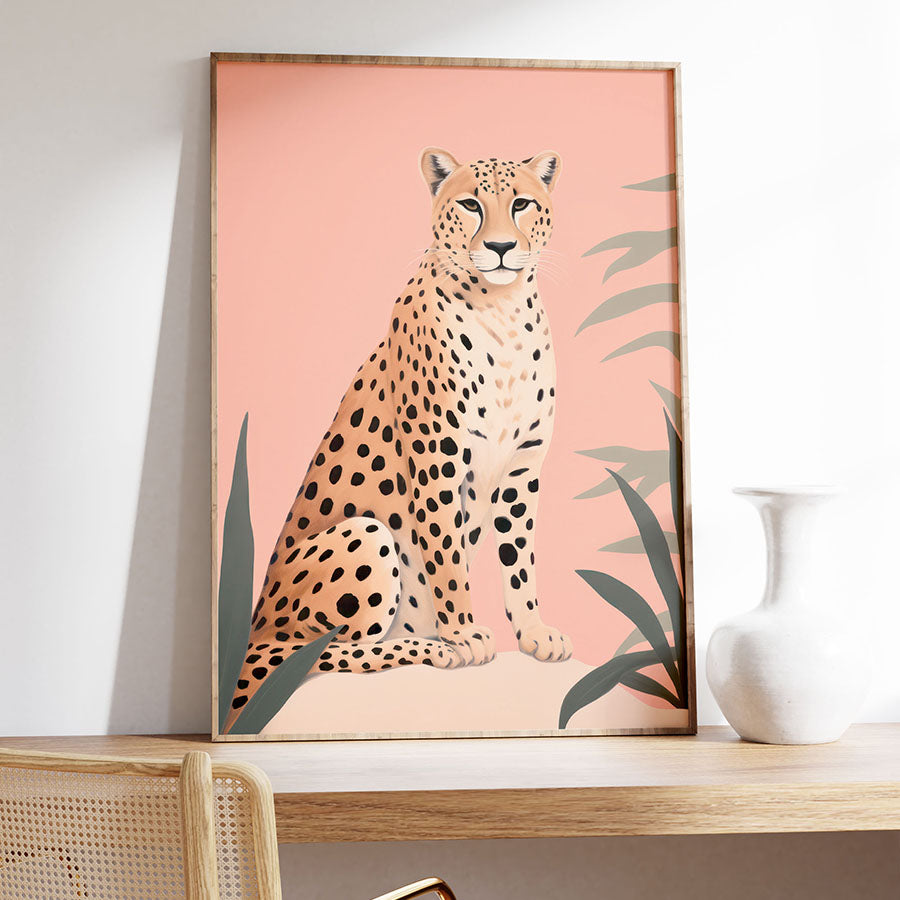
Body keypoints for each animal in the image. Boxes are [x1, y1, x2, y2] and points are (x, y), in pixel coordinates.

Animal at [225, 147, 573, 729]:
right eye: (471, 205)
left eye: (521, 203)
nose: (502, 248)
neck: (501, 309)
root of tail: (252, 633)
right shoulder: (439, 459)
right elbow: (447, 556)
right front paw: (463, 632)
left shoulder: (521, 469)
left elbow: (519, 560)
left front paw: (533, 633)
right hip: (363, 535)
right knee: (317, 654)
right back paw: (434, 647)